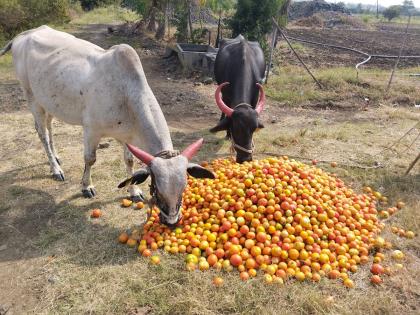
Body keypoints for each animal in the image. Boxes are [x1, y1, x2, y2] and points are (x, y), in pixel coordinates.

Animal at [0, 25, 213, 227]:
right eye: (157, 190)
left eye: (184, 188)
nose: (172, 221)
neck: (126, 95)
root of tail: (25, 34)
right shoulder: (91, 130)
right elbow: (90, 159)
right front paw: (86, 186)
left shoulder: (128, 137)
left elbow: (129, 161)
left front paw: (134, 191)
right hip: (31, 97)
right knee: (42, 132)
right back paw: (55, 169)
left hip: (48, 102)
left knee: (49, 126)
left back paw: (57, 156)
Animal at [210, 34, 266, 164]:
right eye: (236, 129)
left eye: (253, 129)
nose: (245, 159)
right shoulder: (226, 94)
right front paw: (227, 134)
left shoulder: (255, 97)